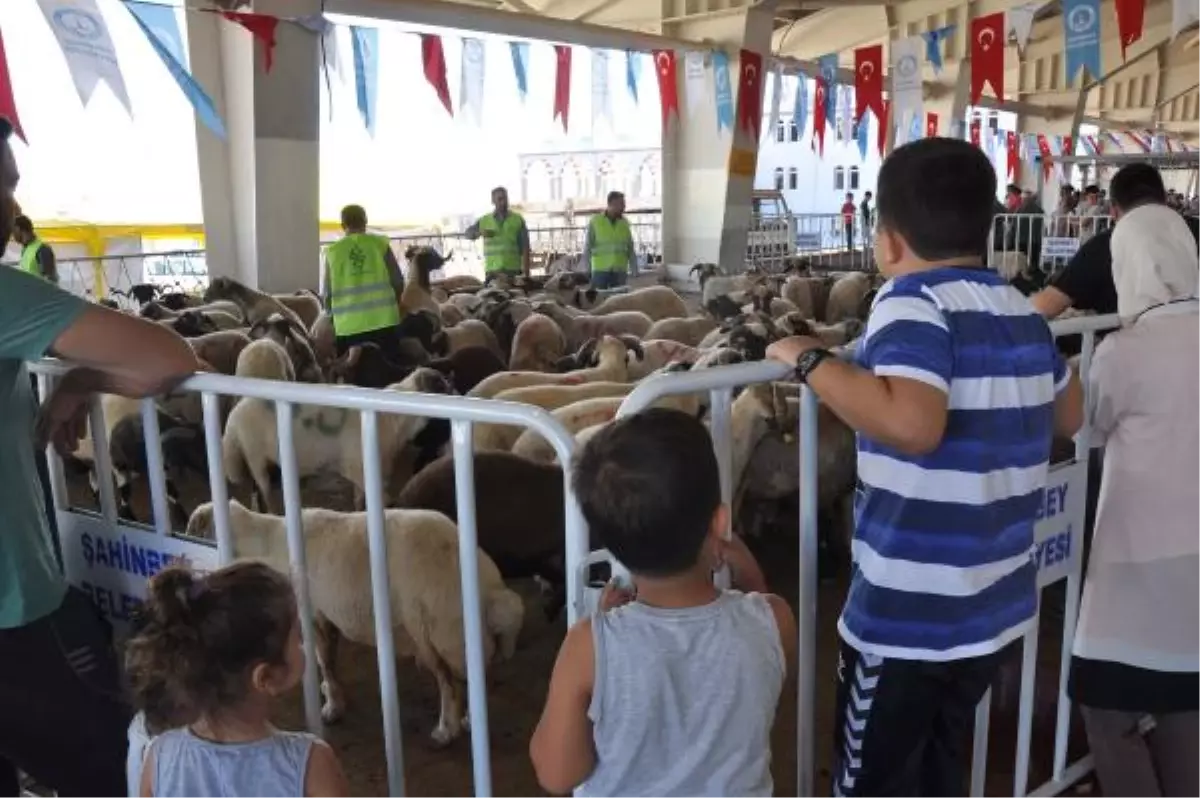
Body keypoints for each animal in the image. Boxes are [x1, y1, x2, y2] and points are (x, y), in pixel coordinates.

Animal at [184, 501, 523, 744]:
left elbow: (325, 661)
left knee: (449, 682)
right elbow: (329, 660)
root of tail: (491, 588)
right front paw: (329, 694)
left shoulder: (315, 616)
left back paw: (447, 729)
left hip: (432, 631)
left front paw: (332, 707)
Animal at [223, 364, 451, 511]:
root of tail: (233, 418)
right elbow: (380, 498)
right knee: (264, 491)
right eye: (439, 384)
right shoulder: (359, 467)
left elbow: (360, 499)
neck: (392, 418)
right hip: (255, 457)